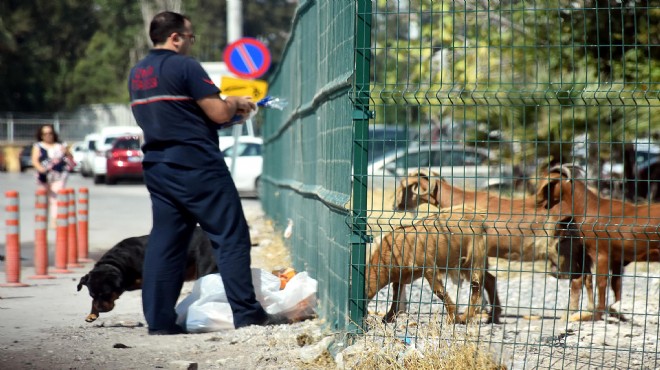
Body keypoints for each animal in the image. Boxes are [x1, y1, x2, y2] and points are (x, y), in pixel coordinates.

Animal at [77, 227, 217, 322]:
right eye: (91, 294)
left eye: (107, 294)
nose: (100, 309)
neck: (118, 264)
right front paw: (92, 313)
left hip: (204, 268)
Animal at [366, 207, 500, 326]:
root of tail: (479, 219)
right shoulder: (400, 276)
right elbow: (396, 294)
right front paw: (389, 317)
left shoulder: (429, 268)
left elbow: (438, 291)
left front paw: (452, 318)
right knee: (490, 280)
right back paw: (493, 316)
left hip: (472, 259)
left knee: (476, 285)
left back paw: (465, 318)